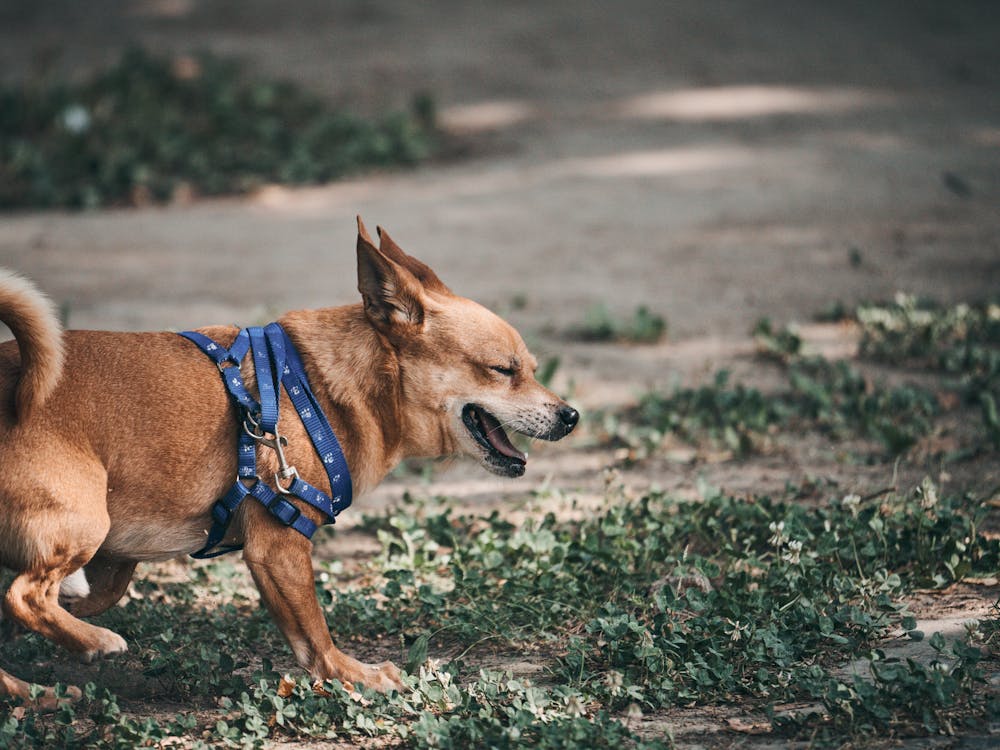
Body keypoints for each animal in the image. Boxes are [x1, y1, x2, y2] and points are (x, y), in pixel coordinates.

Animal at [0, 219, 580, 712]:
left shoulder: (121, 557)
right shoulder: (279, 547)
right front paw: (356, 675)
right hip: (85, 520)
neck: (319, 388)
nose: (570, 416)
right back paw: (91, 645)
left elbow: (94, 592)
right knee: (25, 594)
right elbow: (314, 634)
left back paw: (33, 692)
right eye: (503, 371)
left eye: (532, 369)